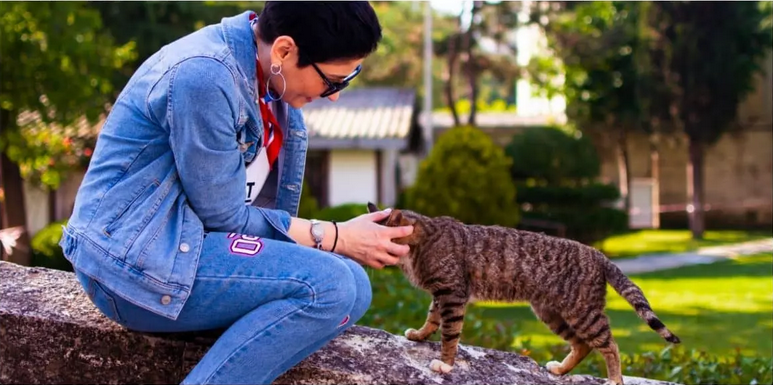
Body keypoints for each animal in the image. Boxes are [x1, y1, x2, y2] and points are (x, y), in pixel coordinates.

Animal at [368, 202, 676, 382]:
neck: (425, 237)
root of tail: (598, 254)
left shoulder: (452, 294)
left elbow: (449, 333)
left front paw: (445, 364)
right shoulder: (442, 294)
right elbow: (432, 319)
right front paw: (420, 335)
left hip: (582, 312)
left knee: (610, 346)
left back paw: (614, 379)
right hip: (551, 313)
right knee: (582, 345)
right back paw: (560, 370)